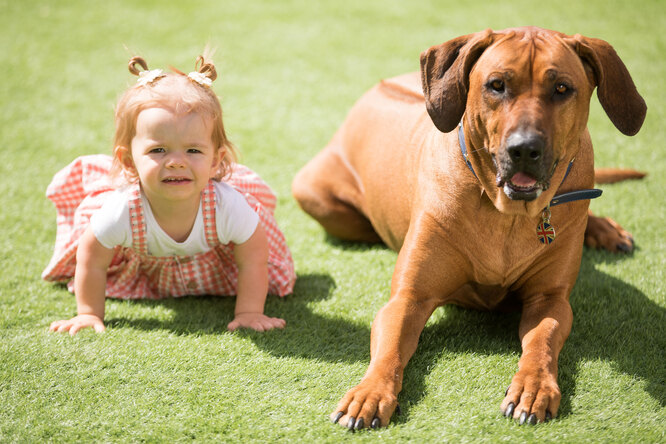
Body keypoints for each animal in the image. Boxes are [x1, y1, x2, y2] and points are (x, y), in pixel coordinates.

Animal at [290, 26, 644, 428]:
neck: (506, 213)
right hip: (314, 194)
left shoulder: (550, 299)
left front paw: (534, 386)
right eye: (497, 85)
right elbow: (390, 349)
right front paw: (369, 393)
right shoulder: (409, 298)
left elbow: (542, 340)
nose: (525, 149)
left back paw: (603, 230)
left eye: (561, 88)